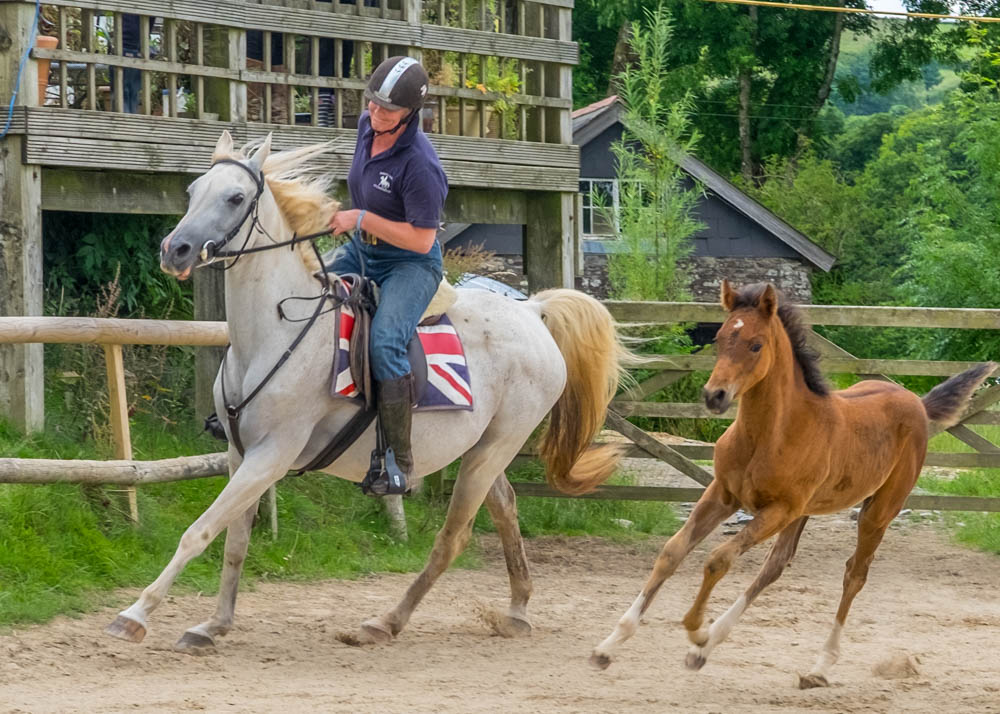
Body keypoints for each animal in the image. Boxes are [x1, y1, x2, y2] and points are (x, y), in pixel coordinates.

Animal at [103, 132, 632, 652]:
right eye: (193, 192)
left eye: (235, 197)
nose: (176, 249)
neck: (275, 332)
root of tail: (530, 310)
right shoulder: (239, 453)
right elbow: (234, 541)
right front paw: (214, 625)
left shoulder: (271, 455)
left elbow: (199, 532)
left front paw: (135, 615)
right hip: (484, 450)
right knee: (506, 509)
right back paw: (516, 610)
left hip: (495, 448)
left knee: (452, 538)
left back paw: (386, 621)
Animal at [588, 278, 996, 684]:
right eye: (719, 338)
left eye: (756, 344)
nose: (714, 396)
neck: (771, 434)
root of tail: (917, 404)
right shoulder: (723, 494)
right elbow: (673, 552)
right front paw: (608, 646)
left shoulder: (778, 509)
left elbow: (718, 559)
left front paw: (697, 629)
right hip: (806, 510)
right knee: (777, 565)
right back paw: (705, 651)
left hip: (878, 510)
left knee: (854, 573)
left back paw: (818, 666)